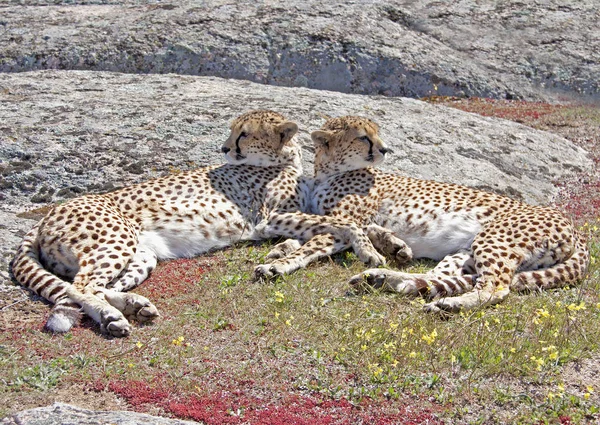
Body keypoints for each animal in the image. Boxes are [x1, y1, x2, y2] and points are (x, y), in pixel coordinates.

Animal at [10, 111, 380, 336]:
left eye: (244, 134)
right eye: (233, 132)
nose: (225, 148)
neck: (284, 160)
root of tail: (45, 217)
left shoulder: (282, 219)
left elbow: (322, 228)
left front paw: (283, 255)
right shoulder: (268, 219)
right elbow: (343, 223)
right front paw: (369, 251)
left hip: (142, 254)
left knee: (97, 287)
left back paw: (132, 307)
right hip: (116, 240)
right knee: (80, 286)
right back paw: (115, 317)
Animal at [255, 116, 588, 312]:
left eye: (377, 134)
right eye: (363, 137)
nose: (385, 149)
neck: (330, 171)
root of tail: (574, 227)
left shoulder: (349, 222)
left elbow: (318, 240)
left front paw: (279, 264)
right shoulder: (334, 218)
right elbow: (309, 230)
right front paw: (280, 250)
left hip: (494, 240)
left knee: (495, 287)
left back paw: (450, 303)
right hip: (467, 250)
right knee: (440, 276)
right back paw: (385, 278)